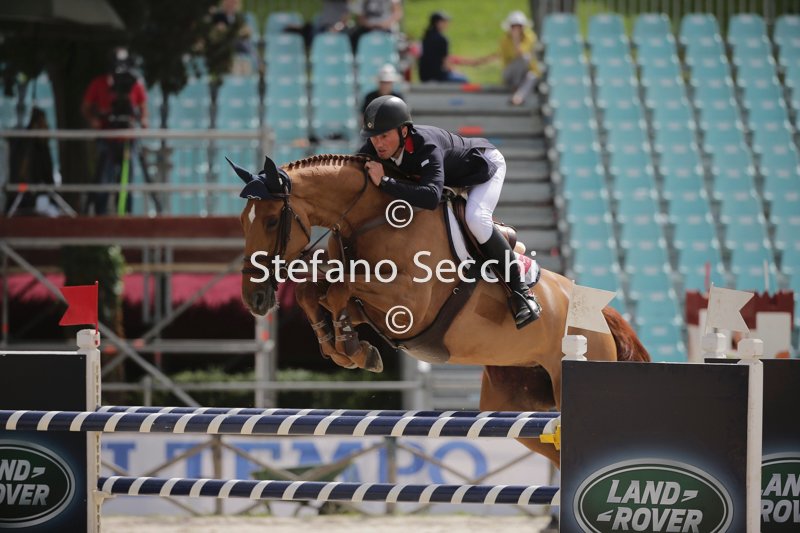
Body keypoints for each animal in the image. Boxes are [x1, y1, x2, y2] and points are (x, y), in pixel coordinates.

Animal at [232, 153, 650, 465]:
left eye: (271, 220)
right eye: (242, 222)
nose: (254, 299)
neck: (372, 217)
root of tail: (600, 314)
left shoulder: (408, 304)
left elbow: (340, 289)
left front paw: (352, 347)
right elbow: (315, 290)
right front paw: (342, 346)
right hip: (514, 401)